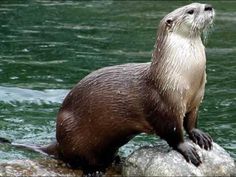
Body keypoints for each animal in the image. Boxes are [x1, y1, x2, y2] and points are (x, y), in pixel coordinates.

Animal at [0, 2, 215, 174]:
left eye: (199, 4)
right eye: (190, 10)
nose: (209, 6)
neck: (184, 75)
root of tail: (59, 141)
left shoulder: (196, 100)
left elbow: (190, 122)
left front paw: (199, 135)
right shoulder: (163, 104)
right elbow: (173, 132)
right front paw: (186, 149)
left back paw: (116, 159)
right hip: (72, 132)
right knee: (77, 160)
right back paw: (93, 170)